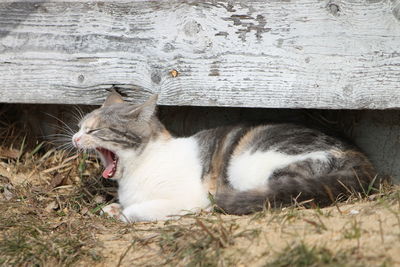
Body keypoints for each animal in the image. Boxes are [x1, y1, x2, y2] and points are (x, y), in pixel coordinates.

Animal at [71, 90, 378, 222]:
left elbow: (136, 211)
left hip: (251, 162)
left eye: (95, 130)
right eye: (80, 126)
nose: (74, 137)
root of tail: (359, 156)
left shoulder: (187, 199)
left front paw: (123, 213)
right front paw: (112, 207)